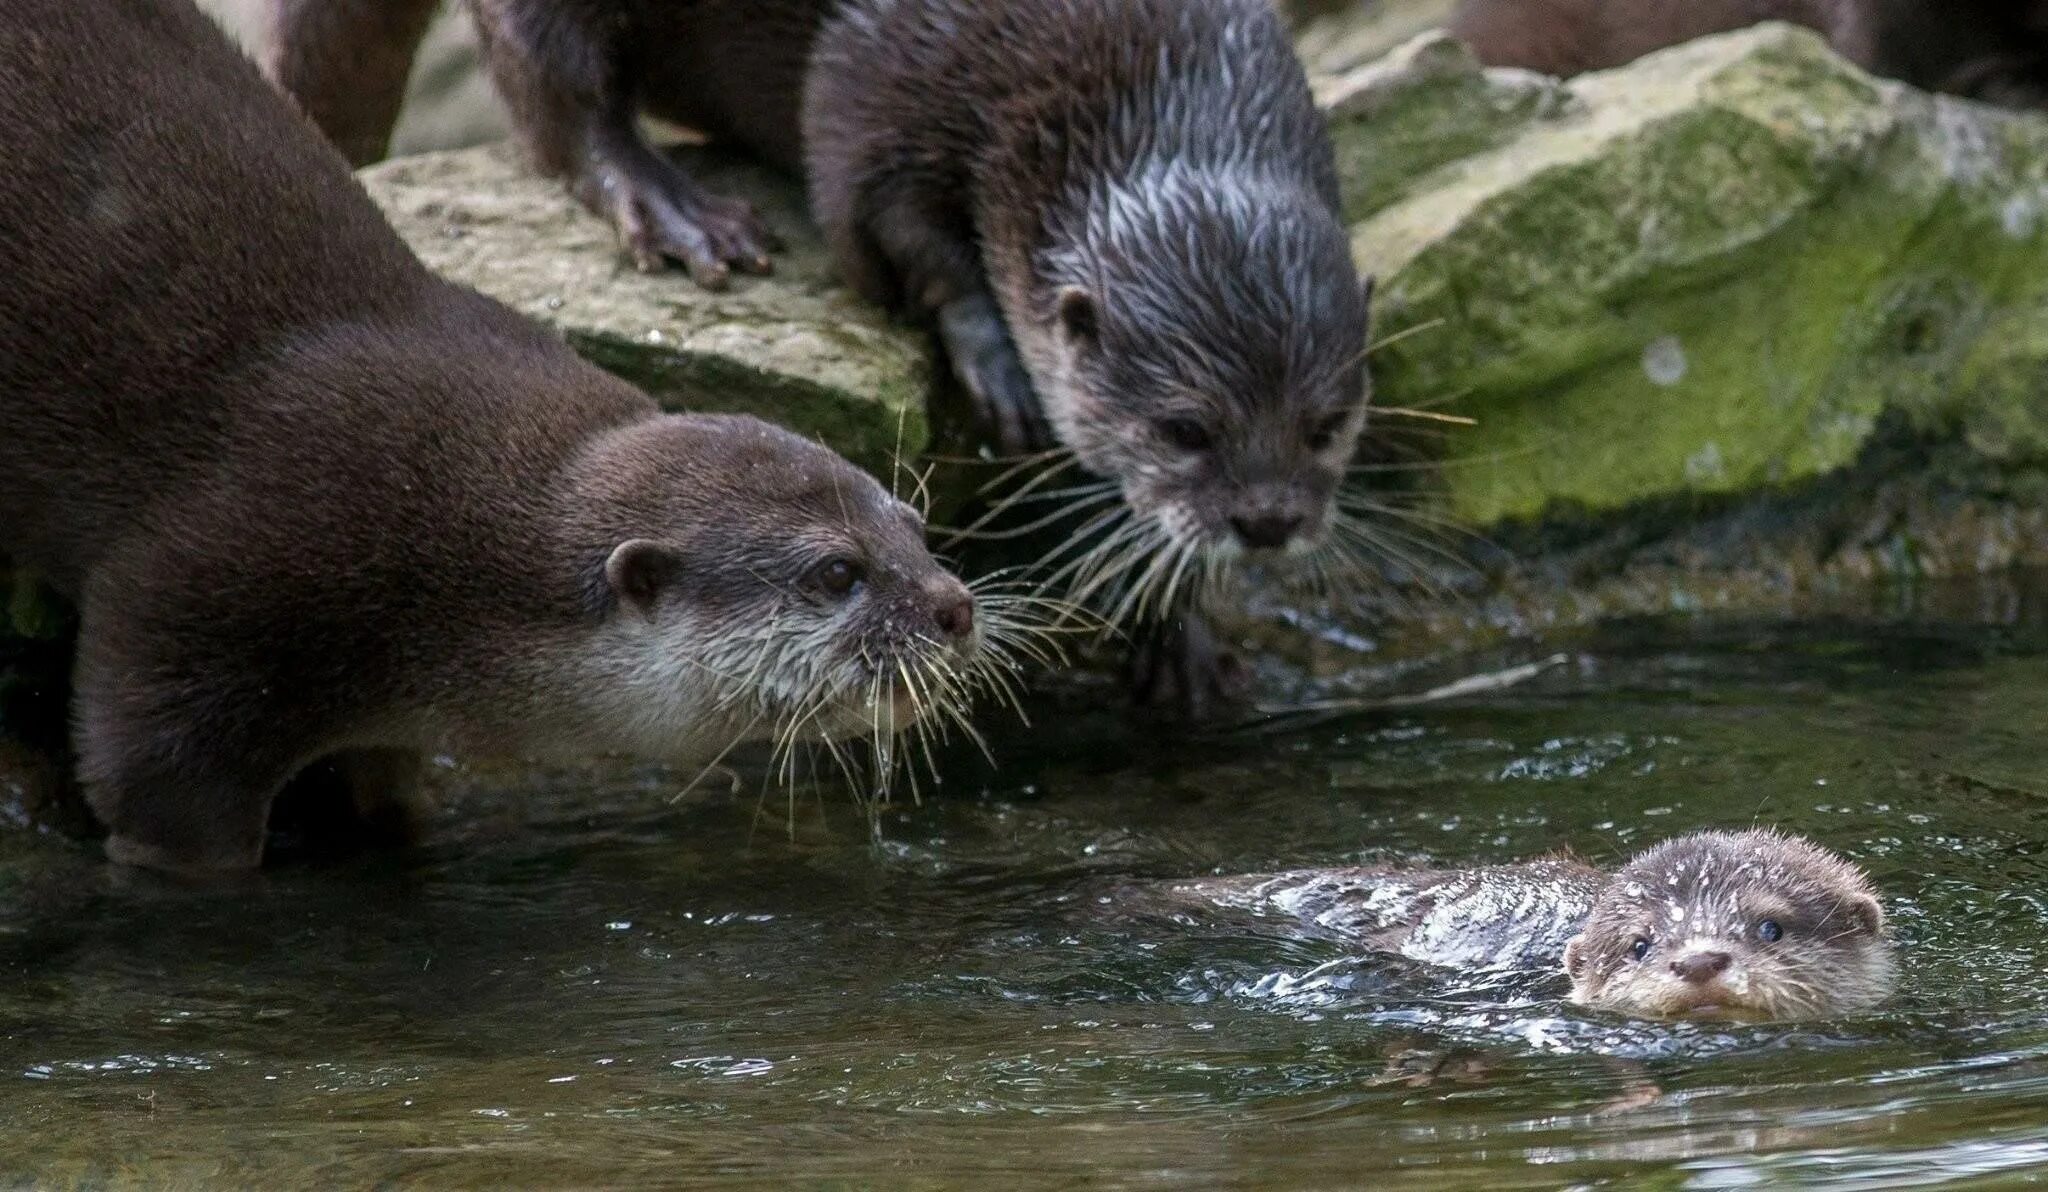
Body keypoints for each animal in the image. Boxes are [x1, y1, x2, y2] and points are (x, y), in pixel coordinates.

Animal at [0, 0, 991, 876]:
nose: (955, 606)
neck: (434, 542)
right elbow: (154, 783)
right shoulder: (195, 596)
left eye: (912, 524)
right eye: (836, 572)